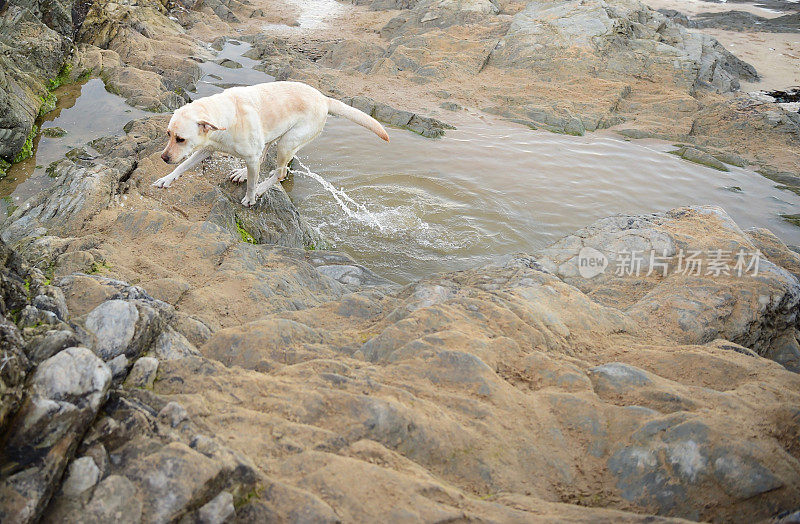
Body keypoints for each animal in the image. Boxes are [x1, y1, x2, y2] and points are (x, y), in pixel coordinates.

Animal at [154, 81, 390, 206]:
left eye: (181, 139)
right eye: (168, 134)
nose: (163, 157)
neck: (225, 119)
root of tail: (324, 99)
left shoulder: (246, 155)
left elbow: (252, 183)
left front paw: (250, 198)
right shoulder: (206, 149)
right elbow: (182, 166)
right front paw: (166, 179)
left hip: (287, 142)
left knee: (280, 173)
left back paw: (260, 188)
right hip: (273, 136)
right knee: (265, 157)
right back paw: (243, 172)